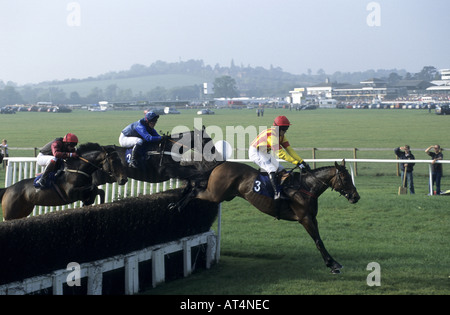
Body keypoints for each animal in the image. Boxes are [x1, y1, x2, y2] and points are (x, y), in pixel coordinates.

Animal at [174, 160, 360, 274]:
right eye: (345, 178)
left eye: (350, 177)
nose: (356, 197)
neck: (307, 187)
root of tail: (221, 164)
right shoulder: (305, 218)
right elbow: (318, 241)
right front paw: (333, 265)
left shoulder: (313, 218)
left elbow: (319, 240)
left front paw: (333, 263)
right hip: (215, 194)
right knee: (195, 190)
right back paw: (178, 205)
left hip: (223, 195)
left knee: (196, 186)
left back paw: (177, 203)